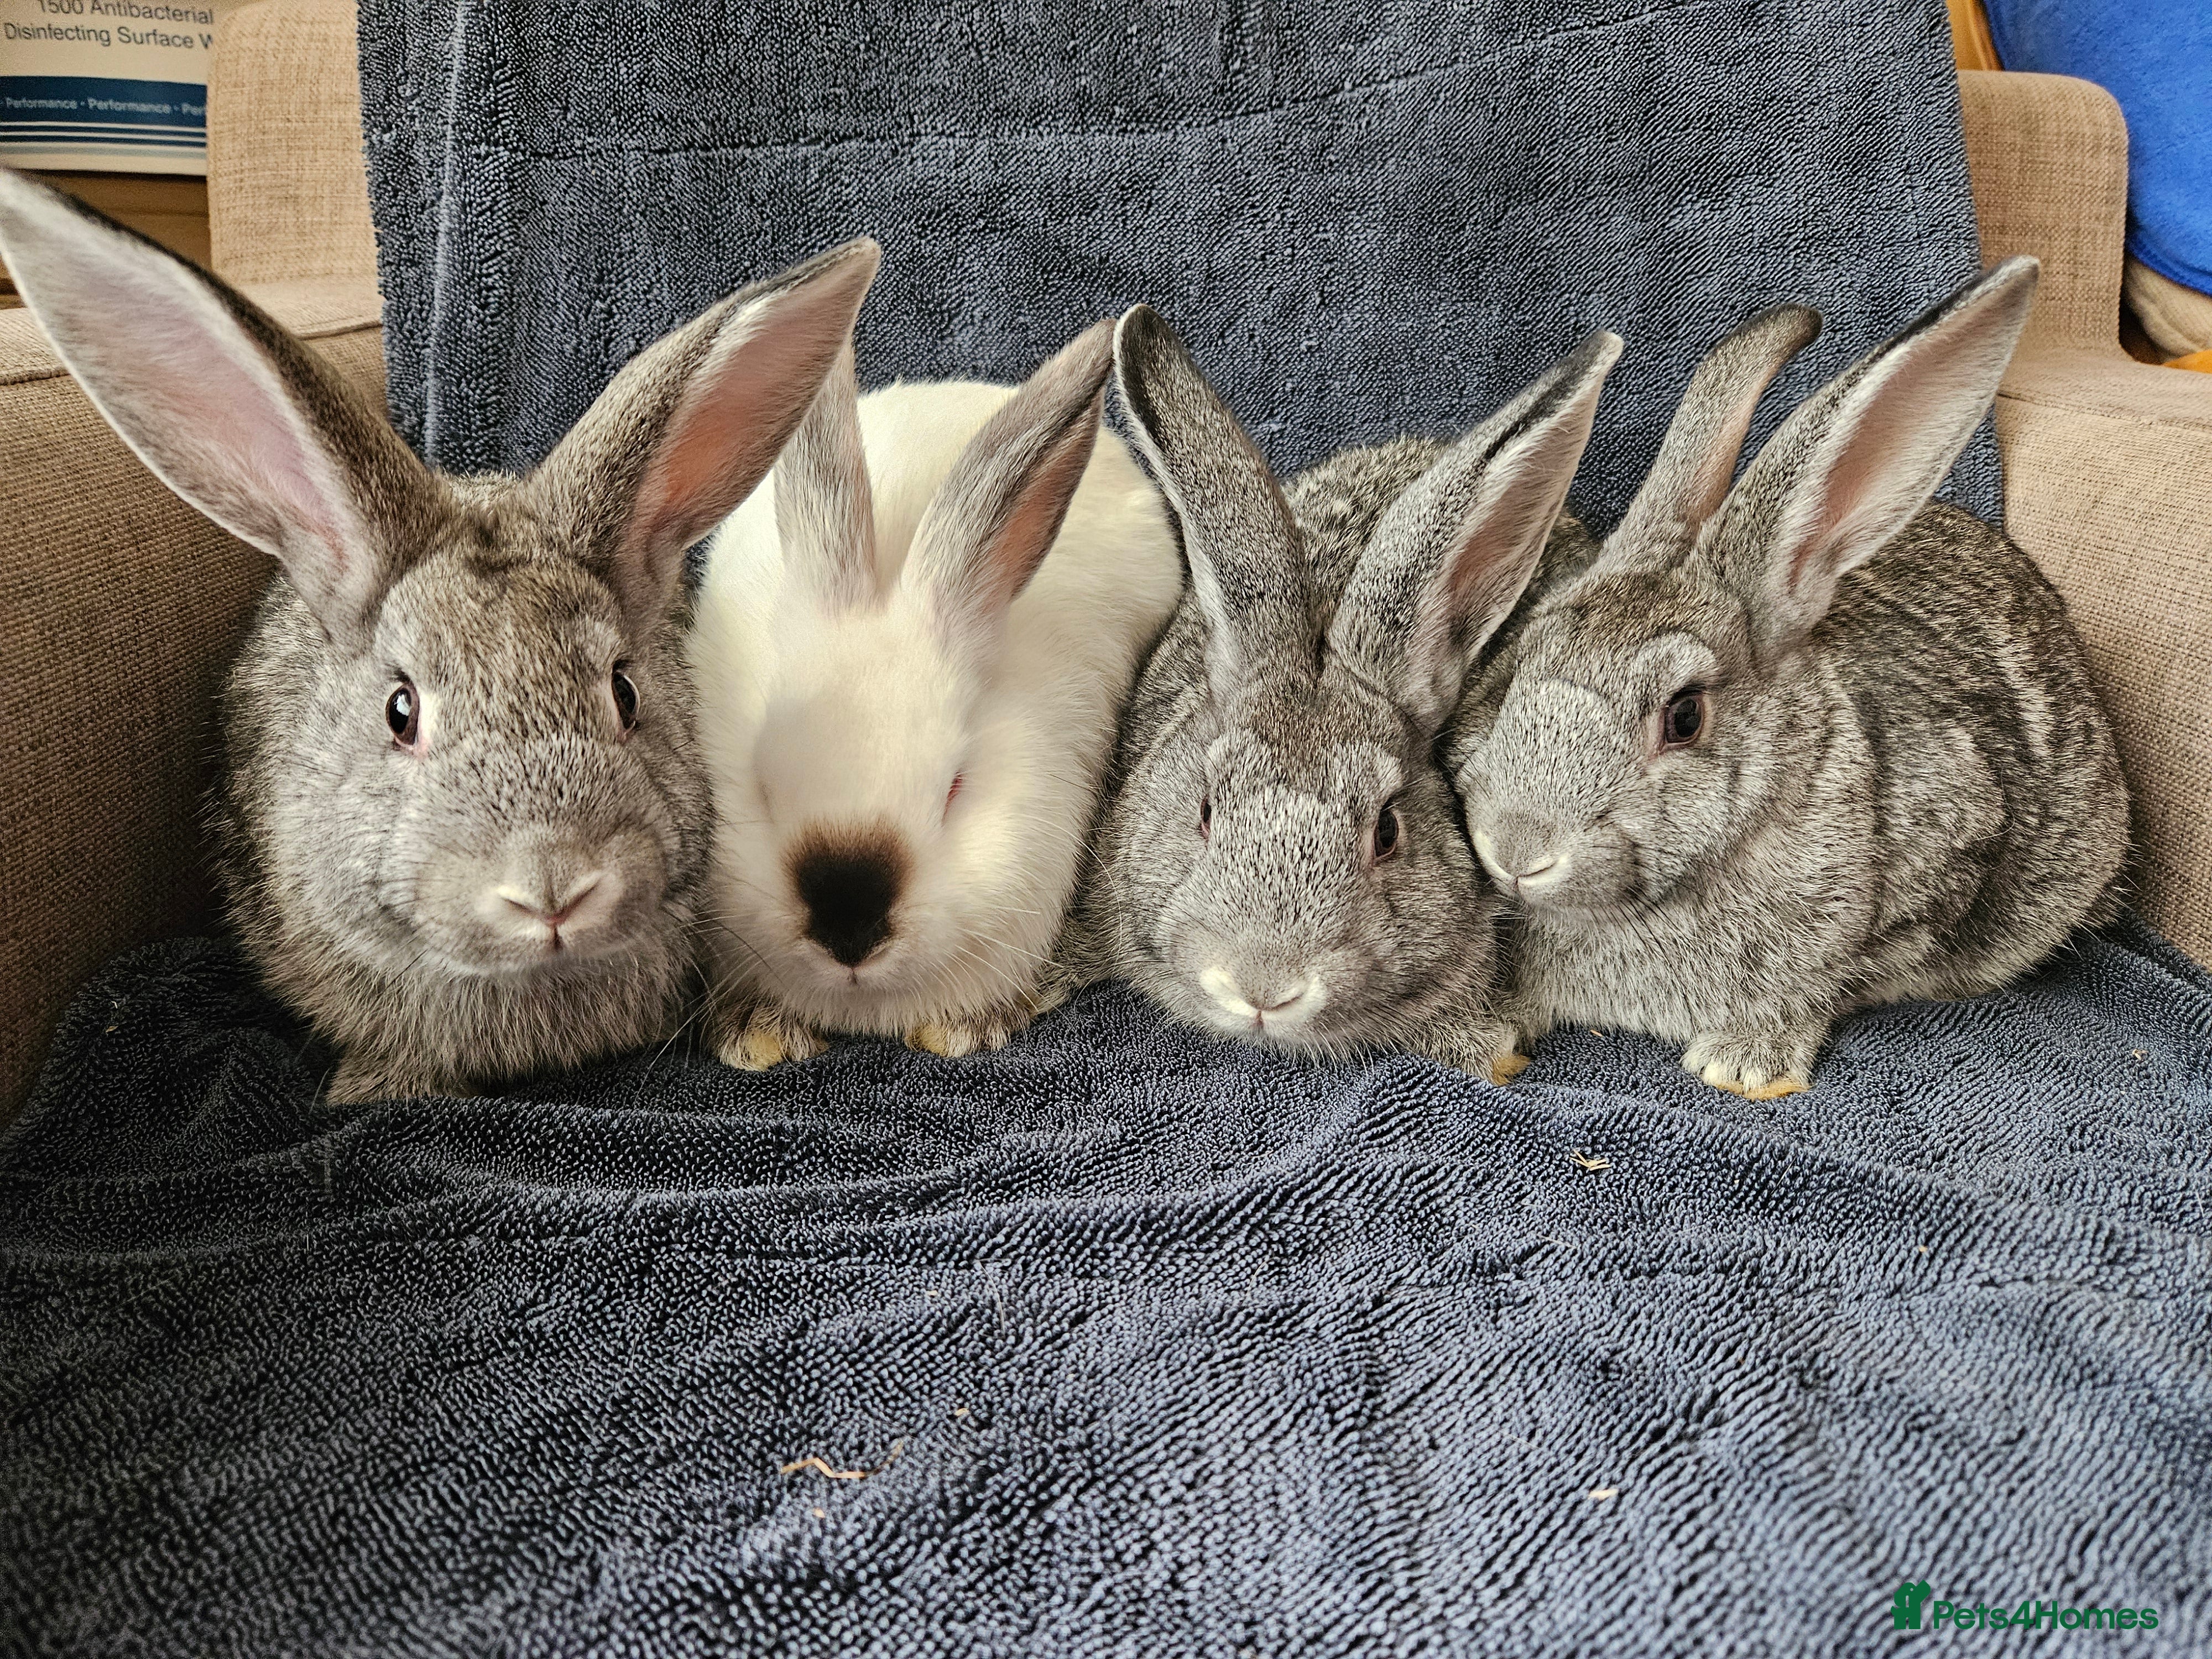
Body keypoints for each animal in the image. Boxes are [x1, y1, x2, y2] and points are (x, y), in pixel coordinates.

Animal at [1448, 258, 2131, 1100]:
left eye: (1684, 717)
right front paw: (1500, 1028)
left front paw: (1746, 1063)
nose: (1515, 850)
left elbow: (1833, 981)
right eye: (1512, 674)